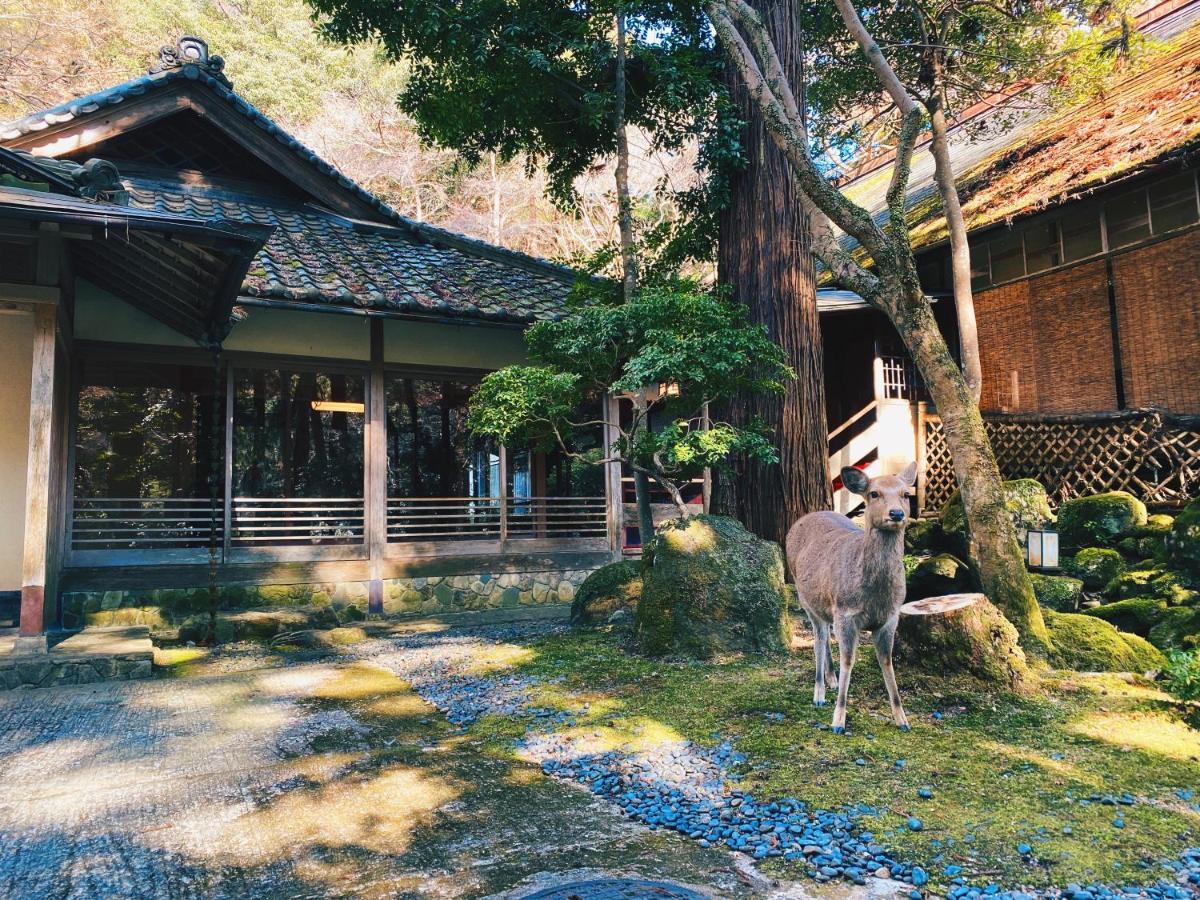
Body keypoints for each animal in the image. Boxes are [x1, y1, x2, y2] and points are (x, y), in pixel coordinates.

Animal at [787, 465, 916, 734]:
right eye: (874, 493)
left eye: (906, 494)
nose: (896, 513)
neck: (875, 597)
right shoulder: (846, 613)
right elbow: (848, 660)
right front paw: (838, 720)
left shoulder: (891, 617)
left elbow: (886, 661)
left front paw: (902, 719)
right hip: (805, 599)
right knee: (819, 639)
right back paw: (819, 693)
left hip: (825, 606)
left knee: (826, 636)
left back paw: (831, 680)